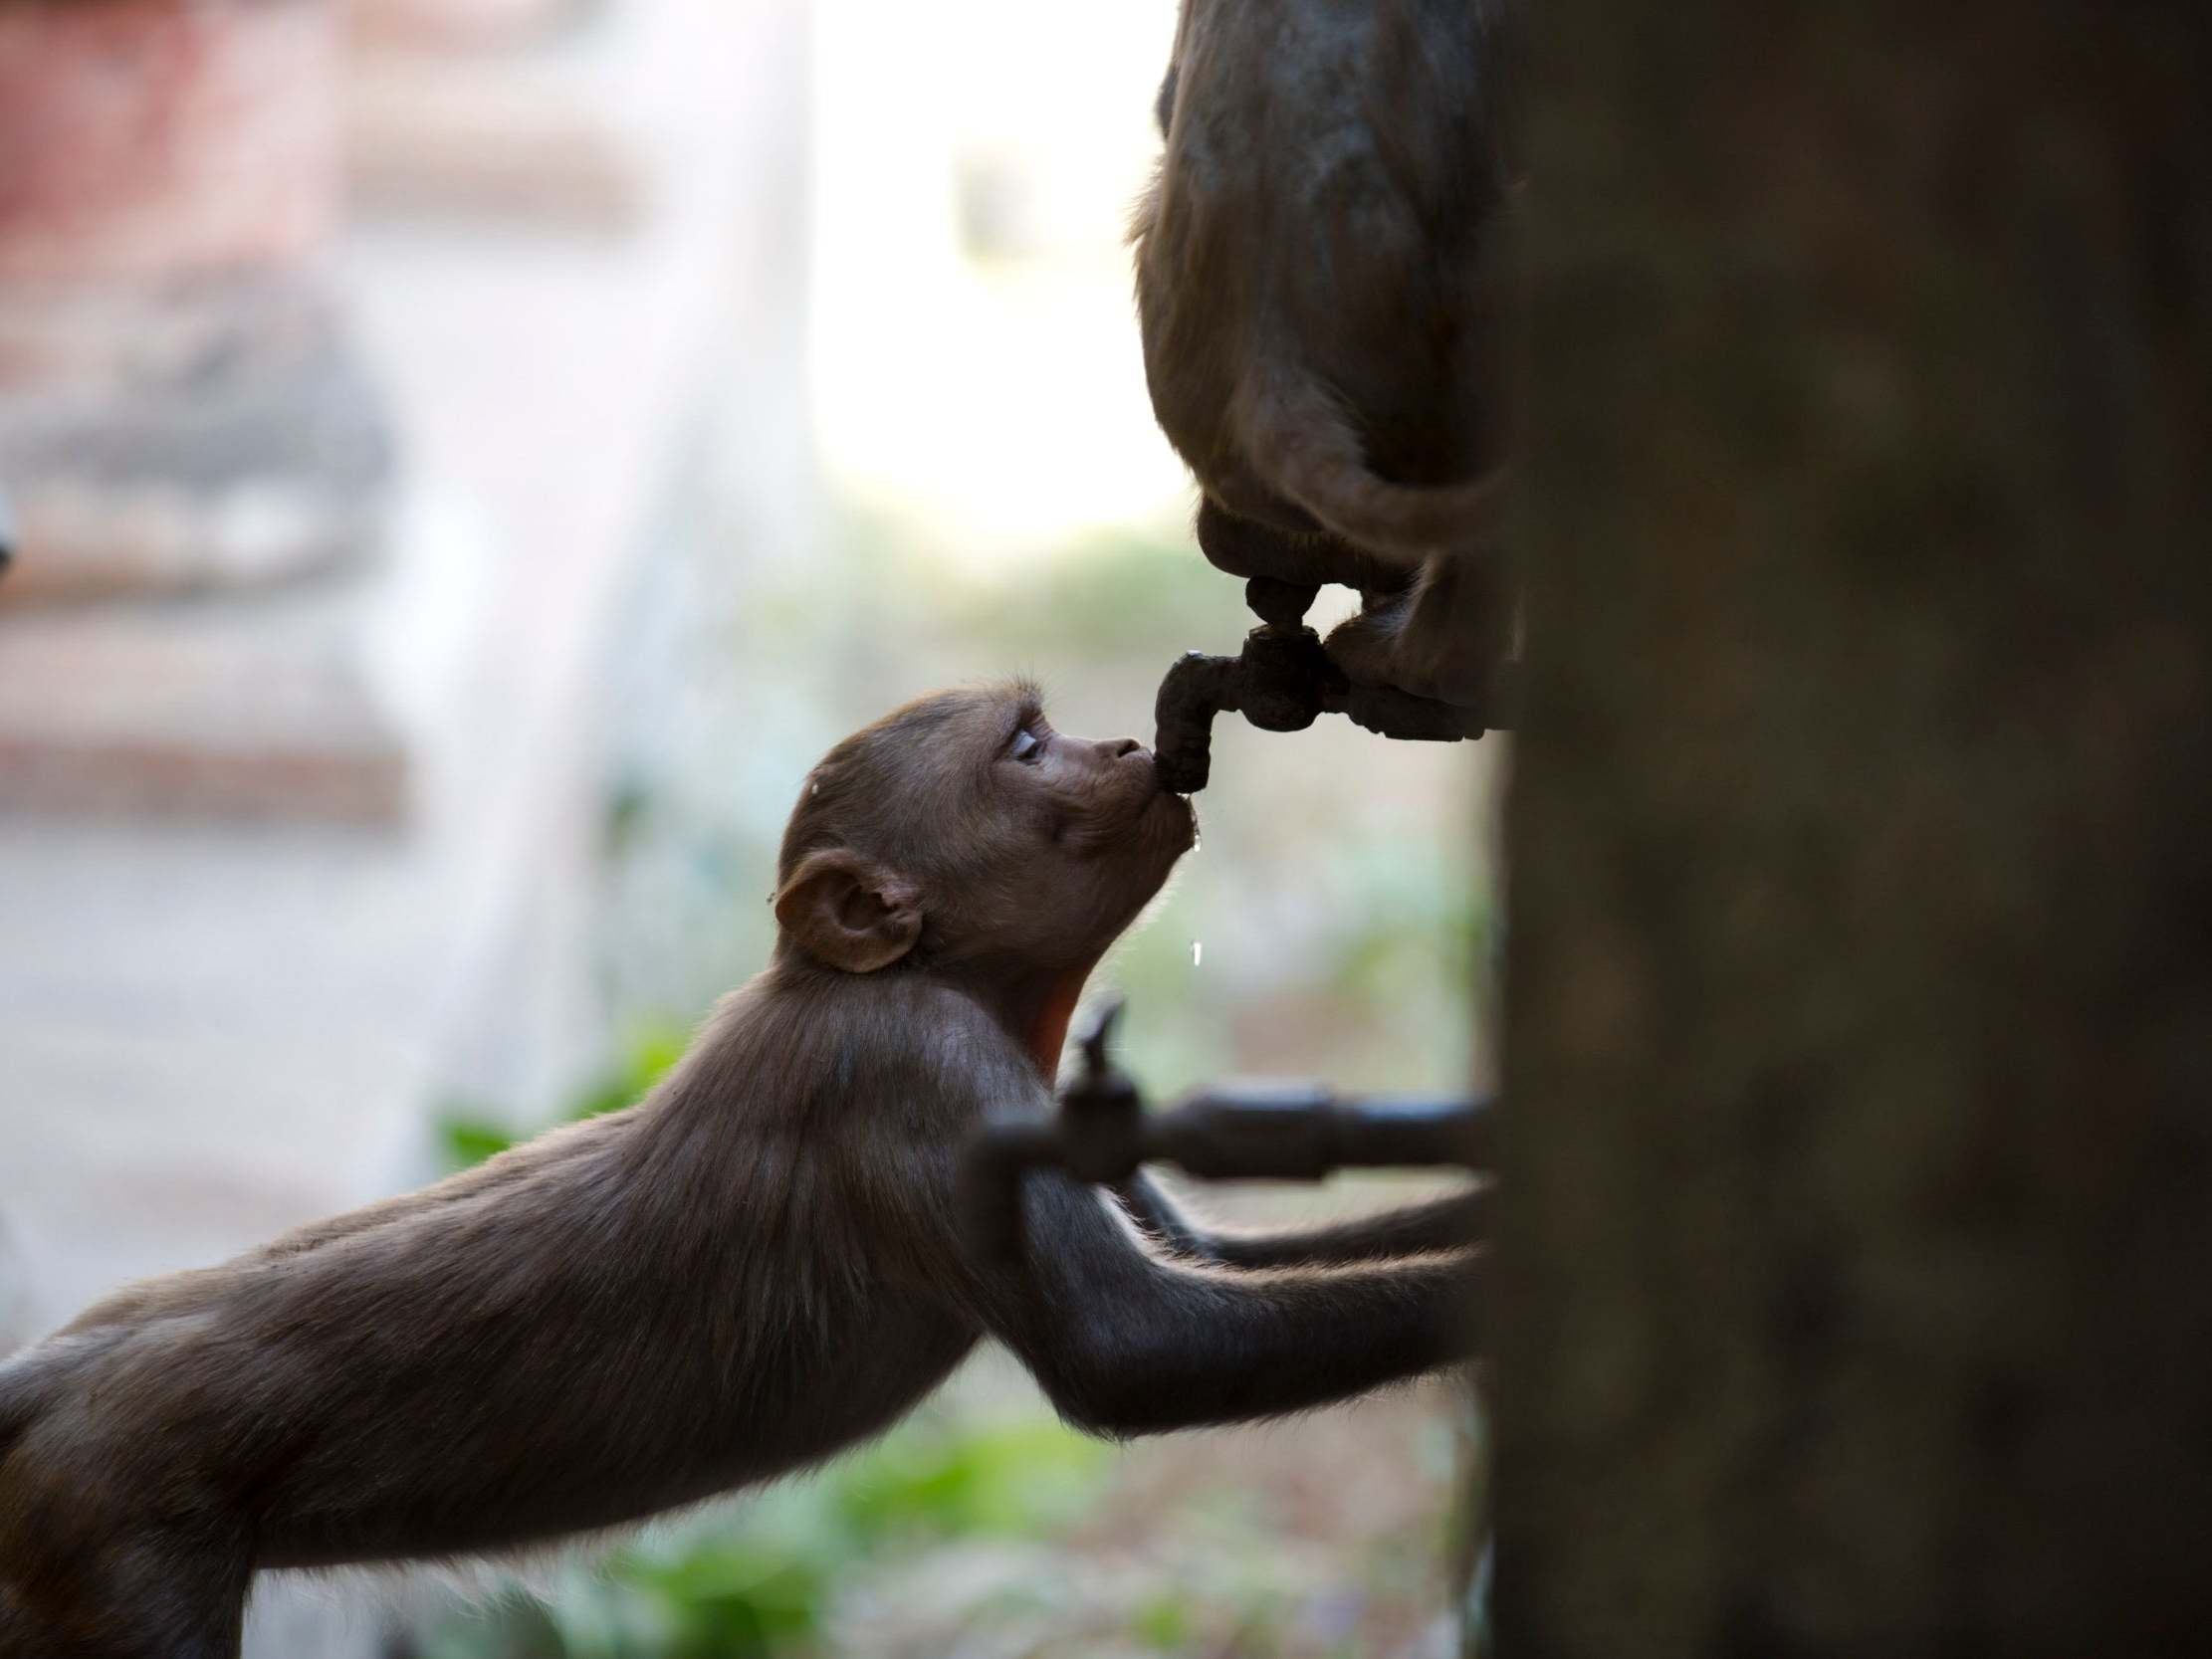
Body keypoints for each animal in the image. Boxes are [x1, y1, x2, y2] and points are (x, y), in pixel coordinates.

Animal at [4, 686, 1486, 1659]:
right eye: (1025, 742)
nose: (1134, 743)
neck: (935, 977)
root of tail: (51, 1378)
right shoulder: (923, 1073)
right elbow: (1133, 1352)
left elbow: (1216, 1257)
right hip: (119, 1539)